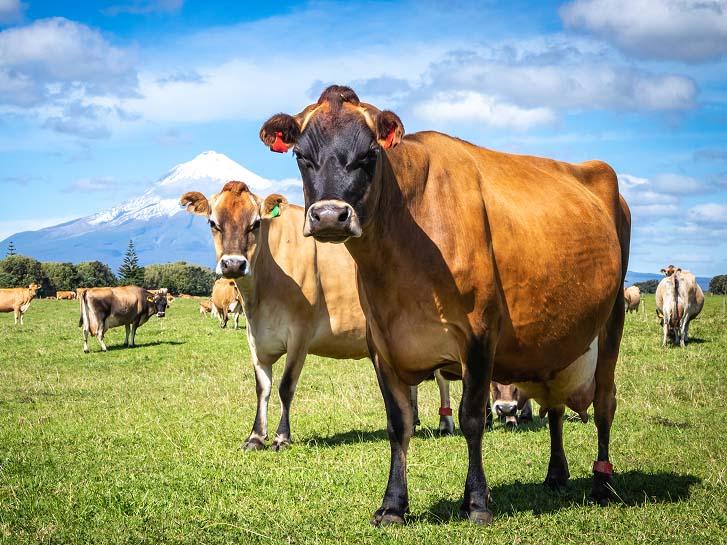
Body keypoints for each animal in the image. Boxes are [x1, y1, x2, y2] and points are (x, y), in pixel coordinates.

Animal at [181, 182, 456, 450]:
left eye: (256, 223)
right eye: (213, 223)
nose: (234, 264)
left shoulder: (299, 334)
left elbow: (285, 386)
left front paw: (281, 437)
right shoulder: (255, 339)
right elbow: (262, 388)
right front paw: (256, 437)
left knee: (442, 378)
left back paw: (445, 423)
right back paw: (414, 419)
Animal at [259, 85, 630, 524]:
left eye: (369, 154)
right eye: (301, 155)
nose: (330, 216)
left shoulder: (480, 334)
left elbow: (472, 419)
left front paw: (477, 502)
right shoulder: (381, 346)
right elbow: (398, 425)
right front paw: (393, 506)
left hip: (612, 320)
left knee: (605, 404)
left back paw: (602, 483)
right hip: (554, 345)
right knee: (555, 407)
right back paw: (556, 474)